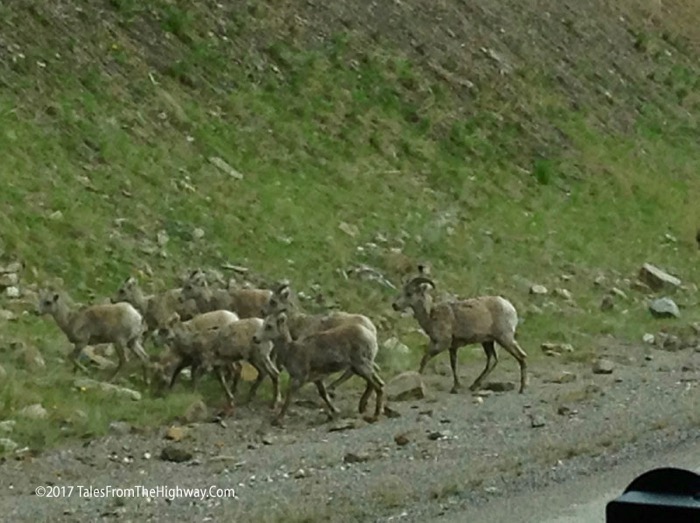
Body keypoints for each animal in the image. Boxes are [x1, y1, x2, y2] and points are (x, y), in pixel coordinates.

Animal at [252, 312, 386, 426]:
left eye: (269, 326)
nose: (254, 338)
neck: (291, 351)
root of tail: (370, 334)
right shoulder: (317, 379)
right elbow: (323, 394)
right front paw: (335, 410)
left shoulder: (298, 379)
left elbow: (289, 398)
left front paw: (277, 420)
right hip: (361, 367)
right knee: (377, 383)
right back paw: (363, 408)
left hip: (361, 366)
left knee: (378, 386)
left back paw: (374, 416)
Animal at [392, 268, 528, 396]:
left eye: (409, 293)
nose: (394, 305)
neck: (431, 316)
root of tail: (509, 307)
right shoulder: (451, 347)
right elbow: (453, 365)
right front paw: (455, 387)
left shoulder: (443, 344)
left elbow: (425, 359)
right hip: (488, 342)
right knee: (493, 361)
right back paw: (474, 386)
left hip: (504, 338)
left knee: (521, 356)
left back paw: (522, 389)